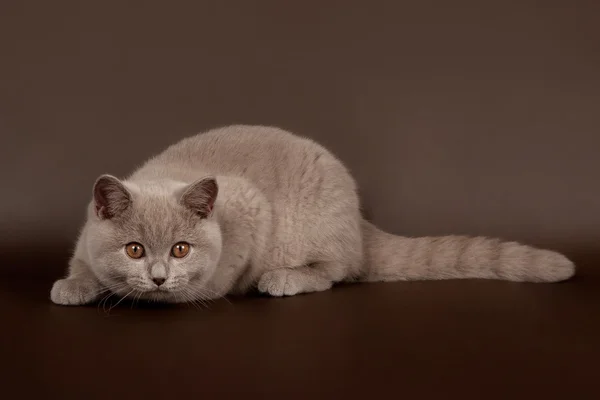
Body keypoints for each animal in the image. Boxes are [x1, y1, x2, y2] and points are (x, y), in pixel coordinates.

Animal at [51, 126, 576, 306]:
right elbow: (83, 265)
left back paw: (283, 278)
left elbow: (208, 284)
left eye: (181, 250)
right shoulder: (85, 238)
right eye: (134, 249)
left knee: (336, 270)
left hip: (315, 231)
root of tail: (360, 220)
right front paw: (74, 286)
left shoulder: (250, 208)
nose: (159, 277)